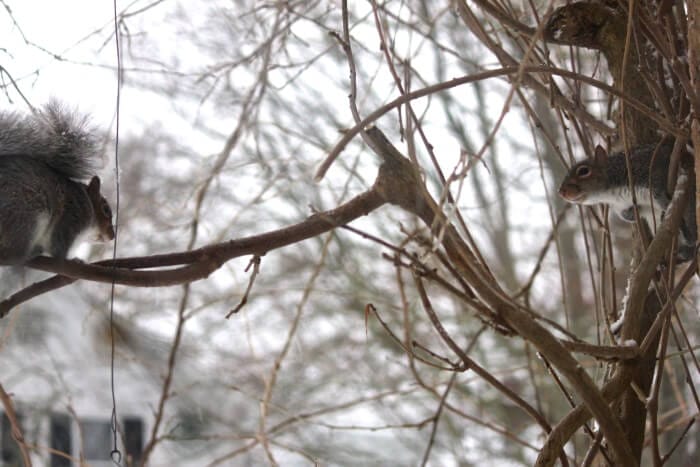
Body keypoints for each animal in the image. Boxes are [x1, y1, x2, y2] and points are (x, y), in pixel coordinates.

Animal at [0, 102, 115, 265]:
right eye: (105, 209)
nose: (113, 236)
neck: (89, 204)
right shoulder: (70, 219)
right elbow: (58, 249)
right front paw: (73, 260)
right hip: (26, 216)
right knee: (9, 254)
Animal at [558, 143, 697, 262]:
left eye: (583, 171)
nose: (561, 192)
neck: (610, 194)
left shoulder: (650, 168)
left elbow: (658, 188)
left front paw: (664, 203)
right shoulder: (620, 206)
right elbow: (627, 215)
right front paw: (632, 214)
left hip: (690, 201)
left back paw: (688, 237)